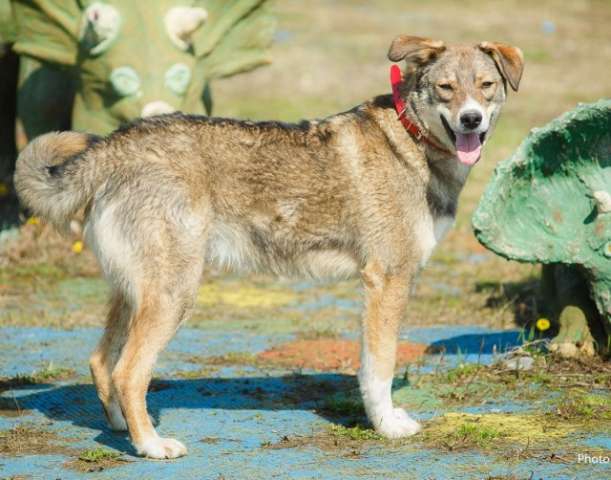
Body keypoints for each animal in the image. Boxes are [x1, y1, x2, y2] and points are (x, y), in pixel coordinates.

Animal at [14, 35, 524, 460]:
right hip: (173, 295)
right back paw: (152, 446)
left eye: (486, 86)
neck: (413, 145)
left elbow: (367, 367)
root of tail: (112, 146)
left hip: (133, 292)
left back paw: (121, 429)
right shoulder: (387, 280)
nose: (471, 120)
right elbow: (379, 370)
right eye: (445, 88)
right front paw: (387, 427)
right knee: (128, 372)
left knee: (101, 362)